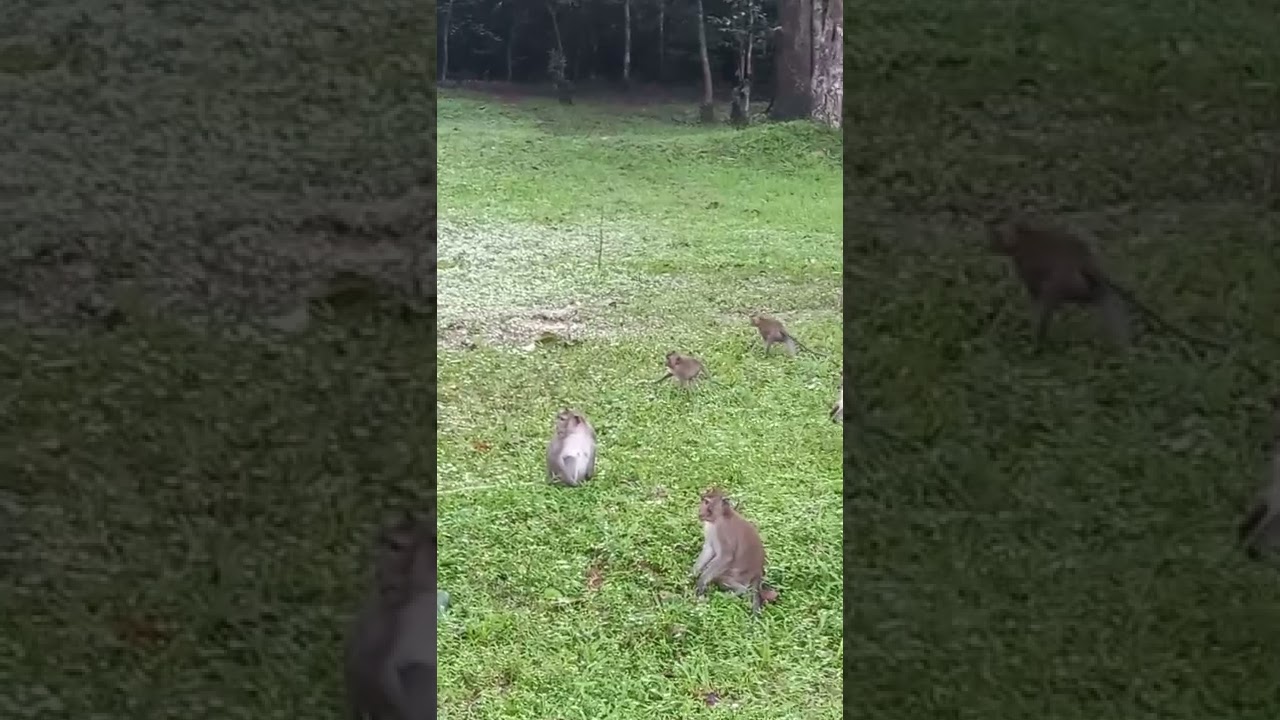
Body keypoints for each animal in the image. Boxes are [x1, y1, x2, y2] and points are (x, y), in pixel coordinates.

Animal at [987, 215, 1242, 354]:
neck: (1024, 236)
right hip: (1086, 284)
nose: (988, 245)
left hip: (1068, 283)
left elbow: (1037, 298)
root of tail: (1084, 258)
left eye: (995, 237)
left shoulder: (1025, 264)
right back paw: (1123, 347)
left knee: (1054, 295)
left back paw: (1038, 344)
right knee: (1104, 296)